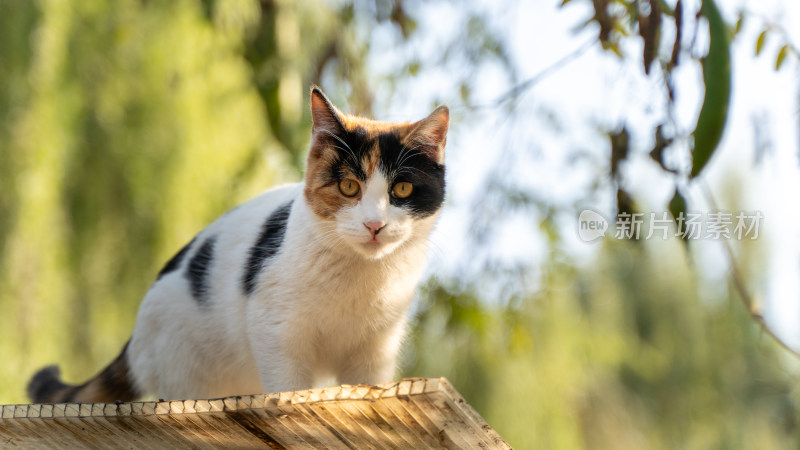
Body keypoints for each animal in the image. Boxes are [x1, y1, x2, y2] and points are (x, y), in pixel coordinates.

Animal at [26, 86, 450, 402]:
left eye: (401, 190)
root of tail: (134, 341)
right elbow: (288, 388)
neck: (363, 278)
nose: (374, 225)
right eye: (349, 187)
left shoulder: (375, 353)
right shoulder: (275, 332)